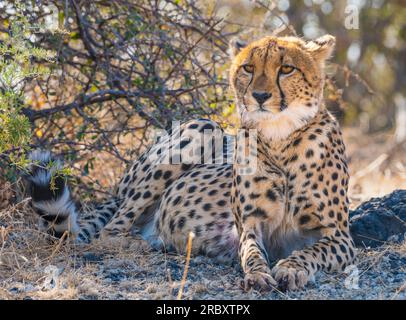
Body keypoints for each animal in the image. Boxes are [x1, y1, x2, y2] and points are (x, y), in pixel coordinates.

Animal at [25, 33, 356, 292]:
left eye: (287, 68)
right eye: (248, 68)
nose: (260, 96)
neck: (280, 138)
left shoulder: (338, 236)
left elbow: (310, 252)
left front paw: (290, 268)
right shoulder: (249, 225)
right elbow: (251, 253)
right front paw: (259, 275)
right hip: (203, 127)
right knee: (107, 231)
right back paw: (142, 243)